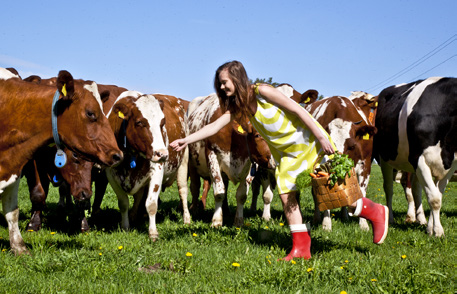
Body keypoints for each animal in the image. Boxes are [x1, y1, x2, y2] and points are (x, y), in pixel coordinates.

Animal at [0, 68, 122, 254]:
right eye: (91, 113)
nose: (117, 155)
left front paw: (82, 224)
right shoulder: (30, 163)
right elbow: (37, 194)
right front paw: (33, 224)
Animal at [186, 93, 272, 227]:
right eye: (257, 135)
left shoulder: (251, 164)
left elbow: (241, 195)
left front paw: (238, 221)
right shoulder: (212, 155)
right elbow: (219, 192)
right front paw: (216, 221)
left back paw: (226, 211)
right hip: (192, 165)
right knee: (195, 187)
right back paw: (195, 210)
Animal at [372, 76, 454, 237]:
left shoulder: (451, 164)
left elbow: (436, 195)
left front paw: (430, 228)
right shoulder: (419, 159)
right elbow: (434, 198)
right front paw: (438, 231)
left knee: (416, 189)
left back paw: (420, 219)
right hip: (385, 158)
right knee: (389, 188)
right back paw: (390, 218)